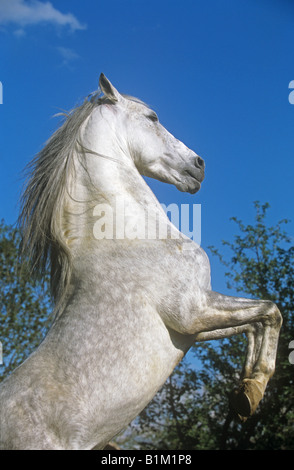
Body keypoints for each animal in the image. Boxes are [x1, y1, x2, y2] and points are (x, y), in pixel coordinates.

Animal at [0, 75, 282, 450]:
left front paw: (243, 395)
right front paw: (254, 390)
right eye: (152, 117)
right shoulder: (193, 311)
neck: (128, 236)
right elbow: (271, 312)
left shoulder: (192, 328)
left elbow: (255, 324)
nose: (199, 165)